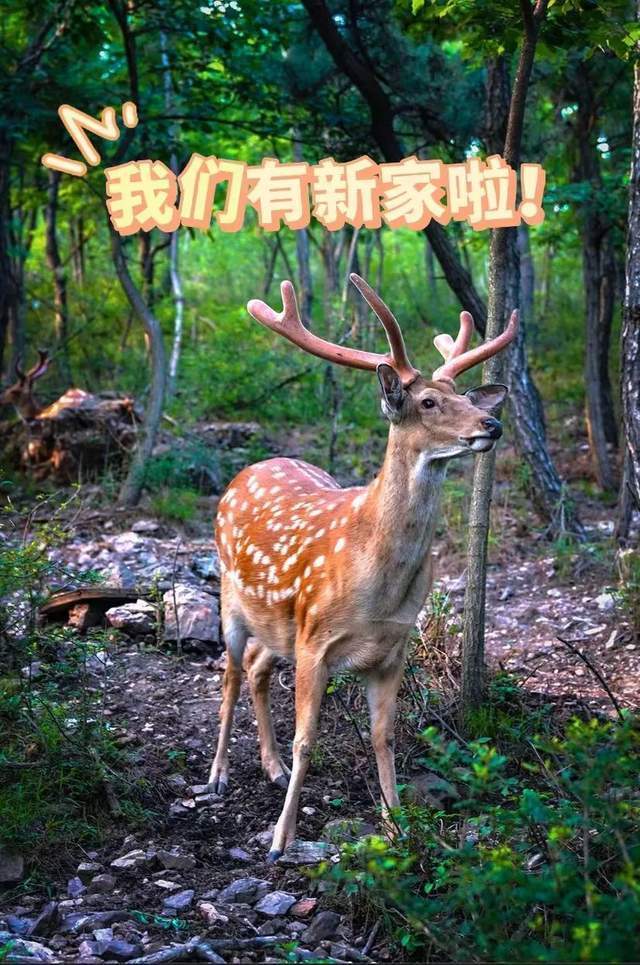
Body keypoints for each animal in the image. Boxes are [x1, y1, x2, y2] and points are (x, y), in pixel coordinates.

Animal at [211, 274, 517, 861]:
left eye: (463, 396)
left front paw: (399, 826)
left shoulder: (391, 650)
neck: (378, 586)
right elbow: (307, 739)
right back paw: (217, 775)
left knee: (258, 667)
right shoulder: (316, 642)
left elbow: (384, 736)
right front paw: (280, 841)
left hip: (279, 623)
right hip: (231, 600)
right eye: (428, 402)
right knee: (232, 673)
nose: (491, 422)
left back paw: (270, 767)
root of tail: (247, 469)